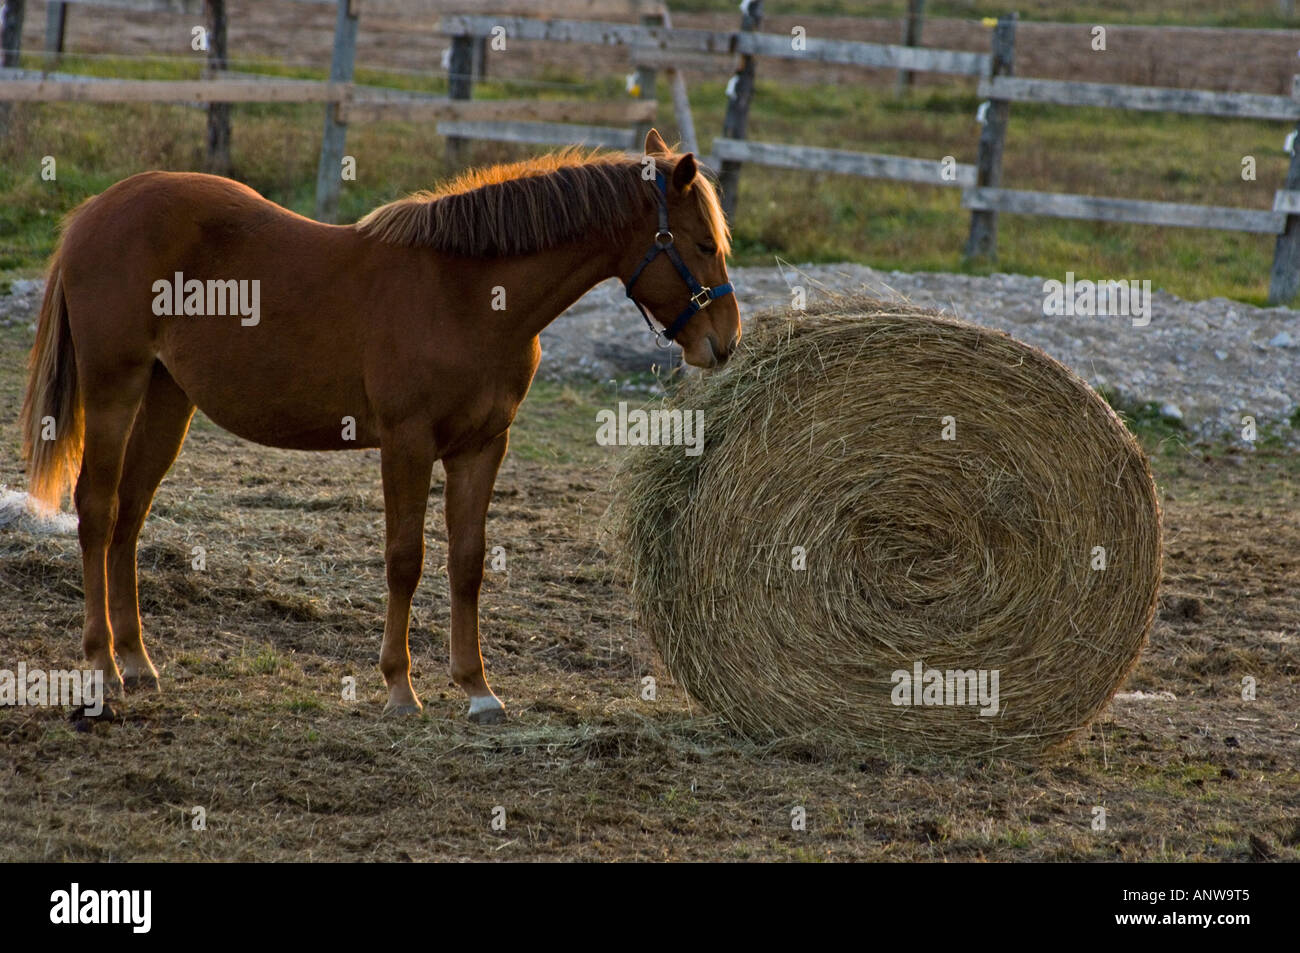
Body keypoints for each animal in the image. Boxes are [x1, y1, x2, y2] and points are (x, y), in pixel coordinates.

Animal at [20, 128, 738, 722]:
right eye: (703, 244)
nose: (724, 342)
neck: (468, 296)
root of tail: (94, 212)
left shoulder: (483, 446)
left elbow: (468, 562)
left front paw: (478, 689)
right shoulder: (407, 442)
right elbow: (404, 559)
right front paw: (399, 686)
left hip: (169, 399)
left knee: (131, 514)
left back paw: (137, 661)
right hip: (114, 390)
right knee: (97, 509)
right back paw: (102, 665)